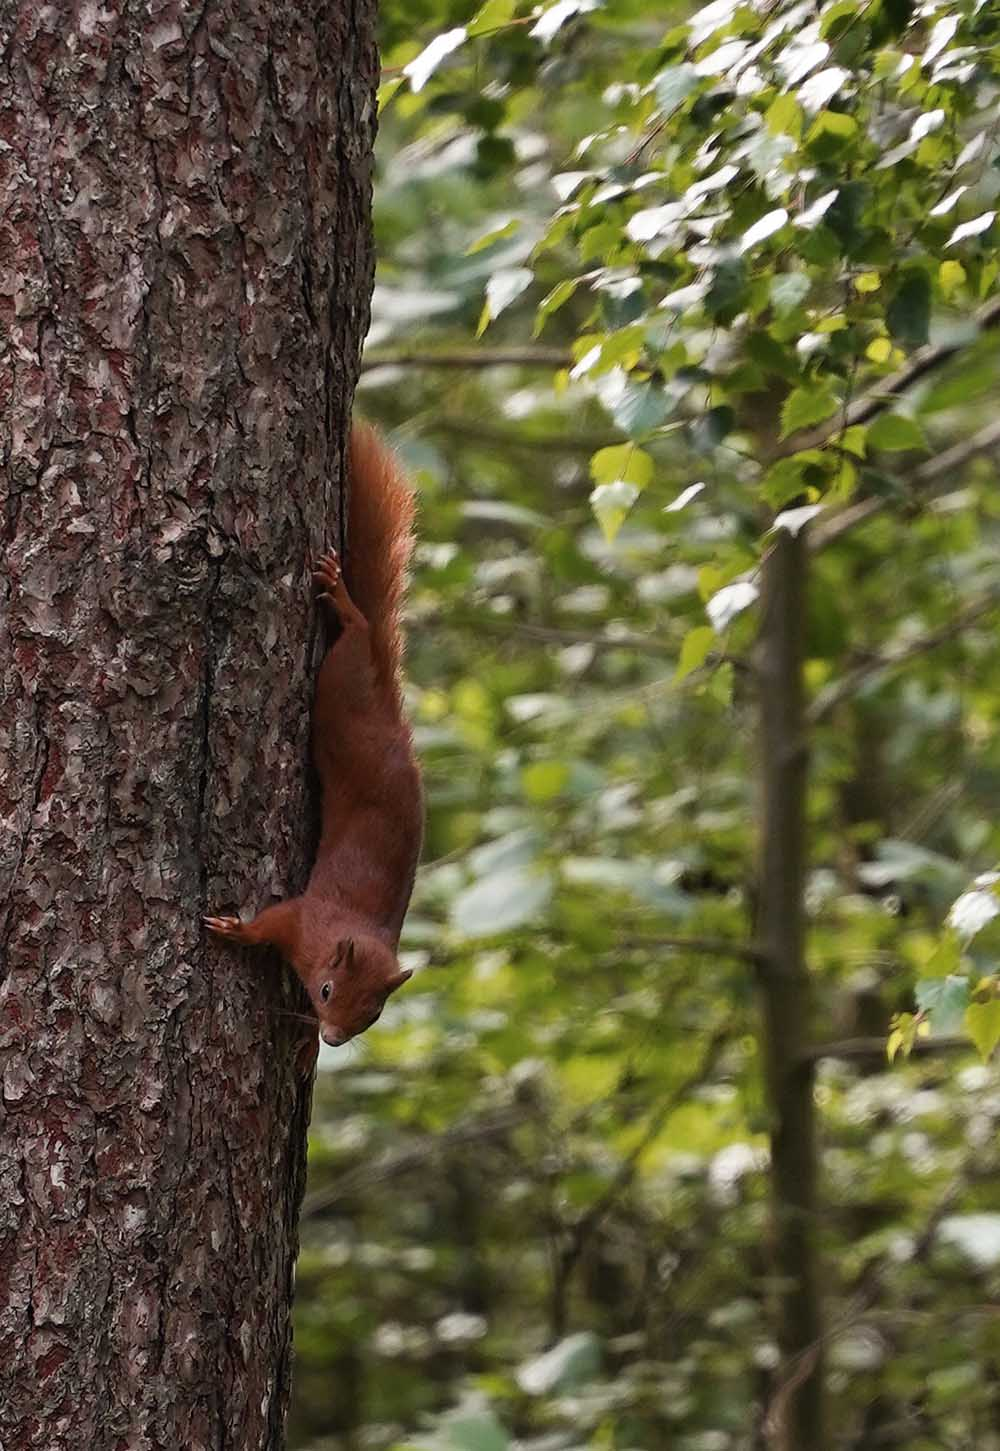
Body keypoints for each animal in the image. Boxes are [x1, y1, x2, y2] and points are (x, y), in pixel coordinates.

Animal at [205, 422, 423, 1050]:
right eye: (326, 991)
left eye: (372, 1016)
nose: (331, 1039)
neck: (345, 935)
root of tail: (391, 716)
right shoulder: (305, 918)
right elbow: (272, 923)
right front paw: (236, 929)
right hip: (339, 692)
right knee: (356, 632)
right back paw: (346, 604)